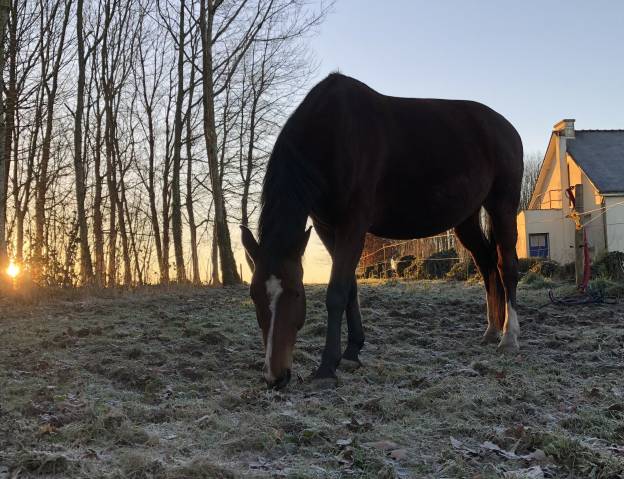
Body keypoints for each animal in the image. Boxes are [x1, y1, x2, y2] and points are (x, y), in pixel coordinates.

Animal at [241, 74, 524, 390]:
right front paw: (352, 352)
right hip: (467, 219)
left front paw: (327, 367)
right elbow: (350, 287)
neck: (333, 133)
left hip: (502, 205)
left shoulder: (353, 224)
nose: (274, 376)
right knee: (487, 265)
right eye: (253, 295)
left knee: (506, 267)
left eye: (297, 294)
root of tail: (506, 128)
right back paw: (491, 330)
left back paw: (508, 338)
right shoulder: (327, 228)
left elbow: (336, 291)